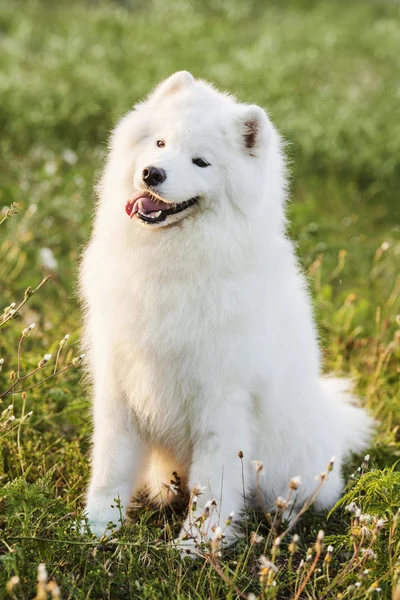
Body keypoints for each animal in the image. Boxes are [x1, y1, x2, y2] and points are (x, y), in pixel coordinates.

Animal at [79, 72, 374, 552]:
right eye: (159, 143)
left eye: (201, 162)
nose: (152, 173)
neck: (173, 263)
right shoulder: (120, 384)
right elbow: (111, 467)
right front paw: (96, 528)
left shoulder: (223, 401)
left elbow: (212, 484)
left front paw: (195, 546)